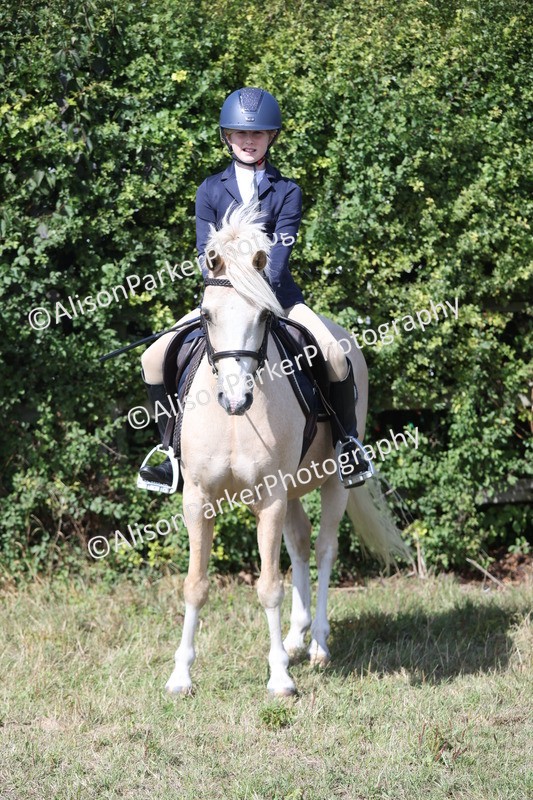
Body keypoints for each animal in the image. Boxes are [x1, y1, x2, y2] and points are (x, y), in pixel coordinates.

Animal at [165, 204, 410, 696]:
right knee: (298, 543)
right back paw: (297, 637)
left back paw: (317, 644)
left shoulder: (270, 496)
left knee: (324, 548)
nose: (235, 399)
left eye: (264, 316)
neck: (233, 421)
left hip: (331, 481)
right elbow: (196, 584)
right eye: (206, 315)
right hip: (296, 486)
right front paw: (181, 675)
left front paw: (279, 677)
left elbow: (268, 586)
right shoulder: (198, 498)